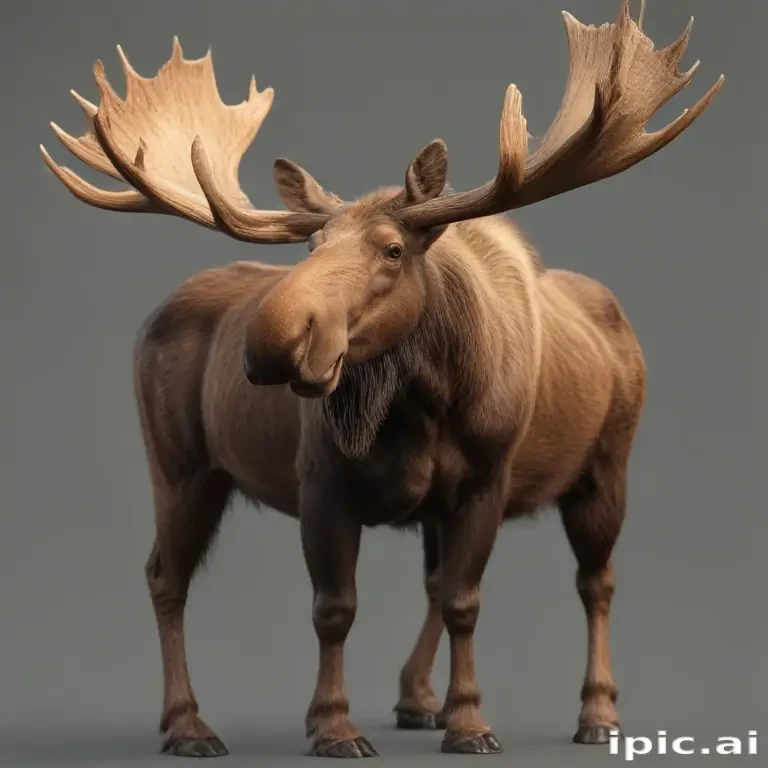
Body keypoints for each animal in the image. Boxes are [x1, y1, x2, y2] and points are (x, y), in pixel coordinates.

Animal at [40, 0, 723, 758]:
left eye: (394, 249)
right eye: (311, 245)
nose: (271, 339)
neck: (425, 402)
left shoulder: (484, 482)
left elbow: (462, 601)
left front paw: (469, 723)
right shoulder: (323, 484)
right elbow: (336, 610)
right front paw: (335, 726)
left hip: (605, 470)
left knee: (593, 582)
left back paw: (592, 712)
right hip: (182, 466)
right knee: (167, 577)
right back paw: (192, 725)